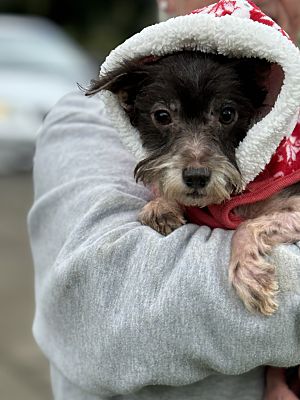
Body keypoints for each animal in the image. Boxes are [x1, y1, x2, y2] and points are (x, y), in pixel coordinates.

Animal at [85, 51, 300, 318]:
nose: (197, 176)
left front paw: (250, 275)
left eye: (227, 114)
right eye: (162, 116)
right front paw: (161, 206)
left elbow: (246, 226)